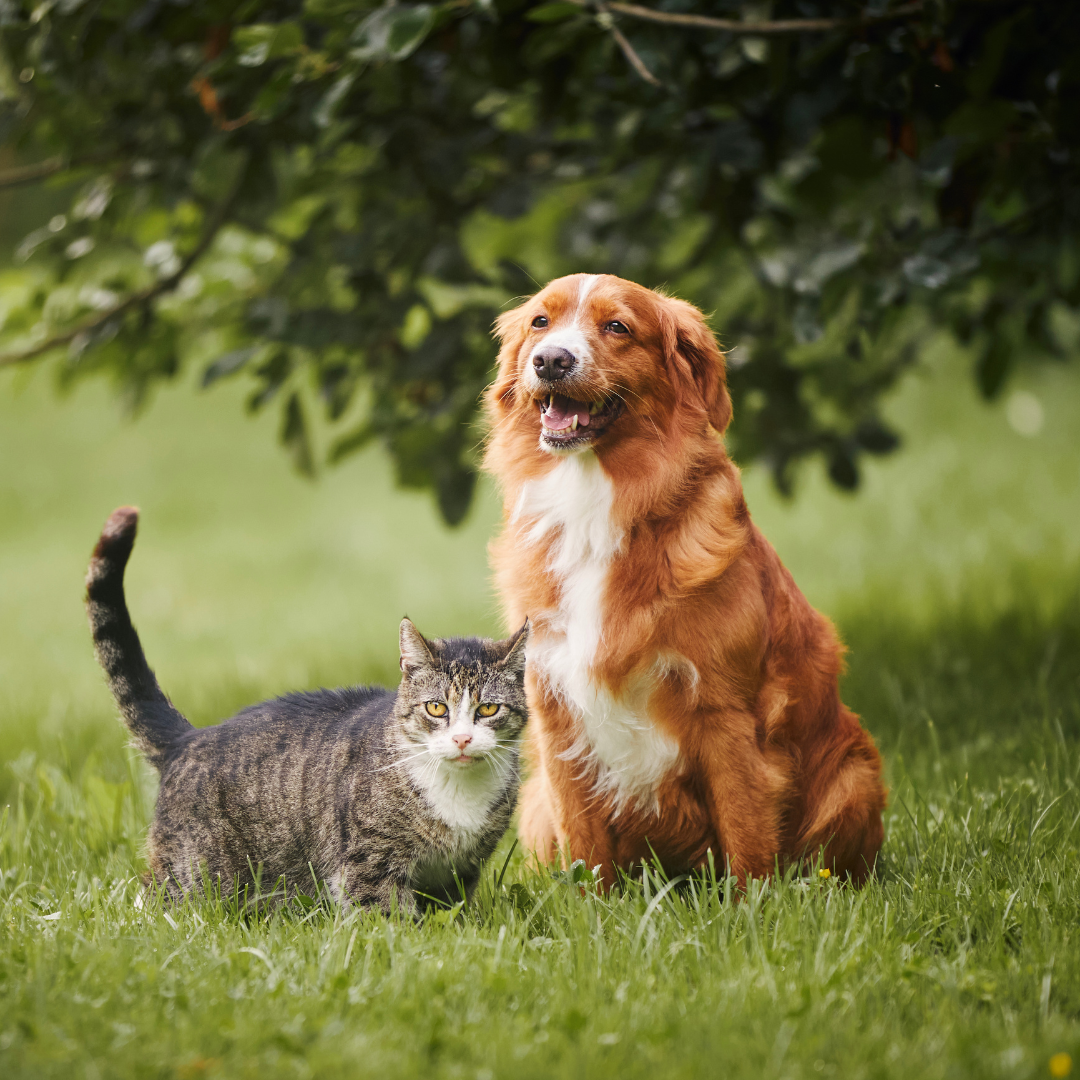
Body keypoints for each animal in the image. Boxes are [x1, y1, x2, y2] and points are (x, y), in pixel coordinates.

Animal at [86, 505, 529, 911]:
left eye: (488, 710)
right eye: (436, 708)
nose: (462, 739)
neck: (459, 797)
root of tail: (189, 737)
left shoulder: (459, 872)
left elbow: (448, 915)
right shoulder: (369, 864)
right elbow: (389, 919)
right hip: (196, 875)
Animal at [483, 274, 885, 889]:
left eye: (617, 327)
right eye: (539, 323)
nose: (550, 360)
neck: (594, 502)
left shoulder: (727, 713)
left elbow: (746, 835)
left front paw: (753, 909)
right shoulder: (556, 713)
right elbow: (584, 850)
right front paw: (590, 907)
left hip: (854, 776)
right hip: (534, 804)